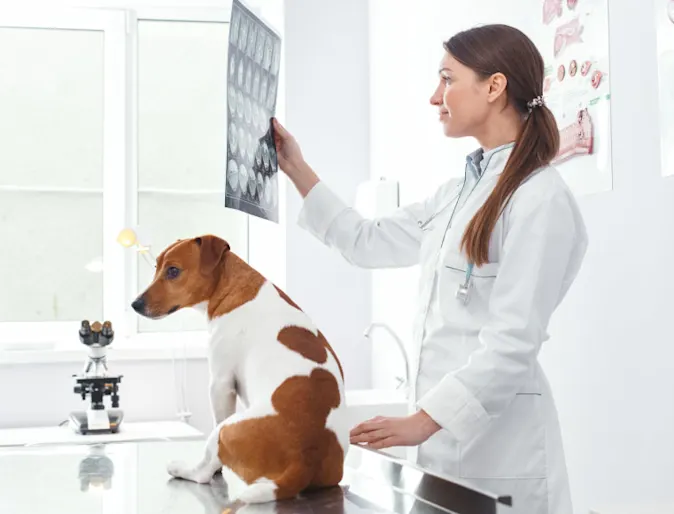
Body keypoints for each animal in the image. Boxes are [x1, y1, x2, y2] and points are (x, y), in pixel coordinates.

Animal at [133, 234, 350, 502]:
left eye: (173, 271)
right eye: (156, 268)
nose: (135, 304)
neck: (232, 287)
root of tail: (306, 457)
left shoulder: (221, 383)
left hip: (225, 429)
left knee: (203, 469)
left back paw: (183, 468)